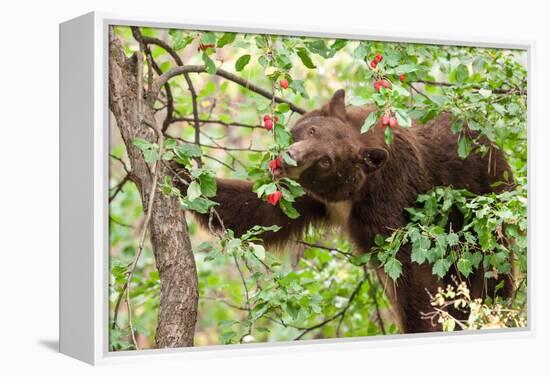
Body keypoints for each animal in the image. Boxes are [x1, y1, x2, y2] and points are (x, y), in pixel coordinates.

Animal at [178, 89, 516, 334]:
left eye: (326, 160)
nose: (290, 157)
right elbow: (263, 212)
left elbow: (409, 267)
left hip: (482, 209)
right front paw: (180, 172)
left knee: (490, 274)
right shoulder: (311, 197)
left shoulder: (389, 195)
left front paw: (421, 324)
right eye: (311, 130)